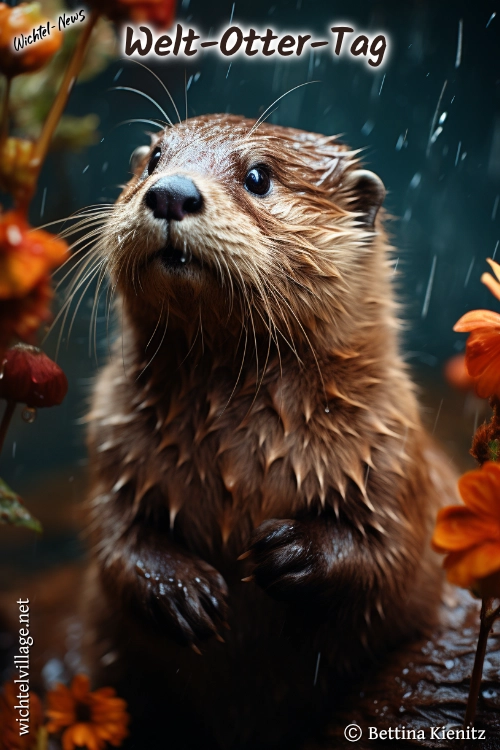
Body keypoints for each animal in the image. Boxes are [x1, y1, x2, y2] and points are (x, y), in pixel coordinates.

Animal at [83, 114, 456, 749]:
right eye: (154, 159)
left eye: (258, 176)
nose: (171, 192)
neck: (237, 456)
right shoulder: (112, 445)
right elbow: (113, 538)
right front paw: (181, 591)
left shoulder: (392, 453)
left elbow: (394, 552)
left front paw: (289, 552)